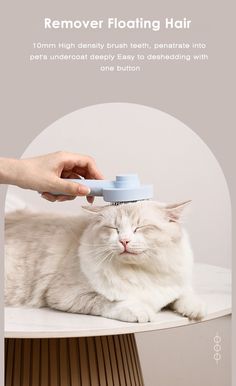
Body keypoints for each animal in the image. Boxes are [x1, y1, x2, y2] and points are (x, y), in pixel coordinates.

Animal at [4, 201, 206, 322]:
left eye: (139, 228)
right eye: (114, 228)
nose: (124, 241)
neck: (140, 271)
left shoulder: (174, 285)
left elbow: (185, 295)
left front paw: (196, 310)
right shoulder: (66, 295)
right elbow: (113, 302)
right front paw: (141, 311)